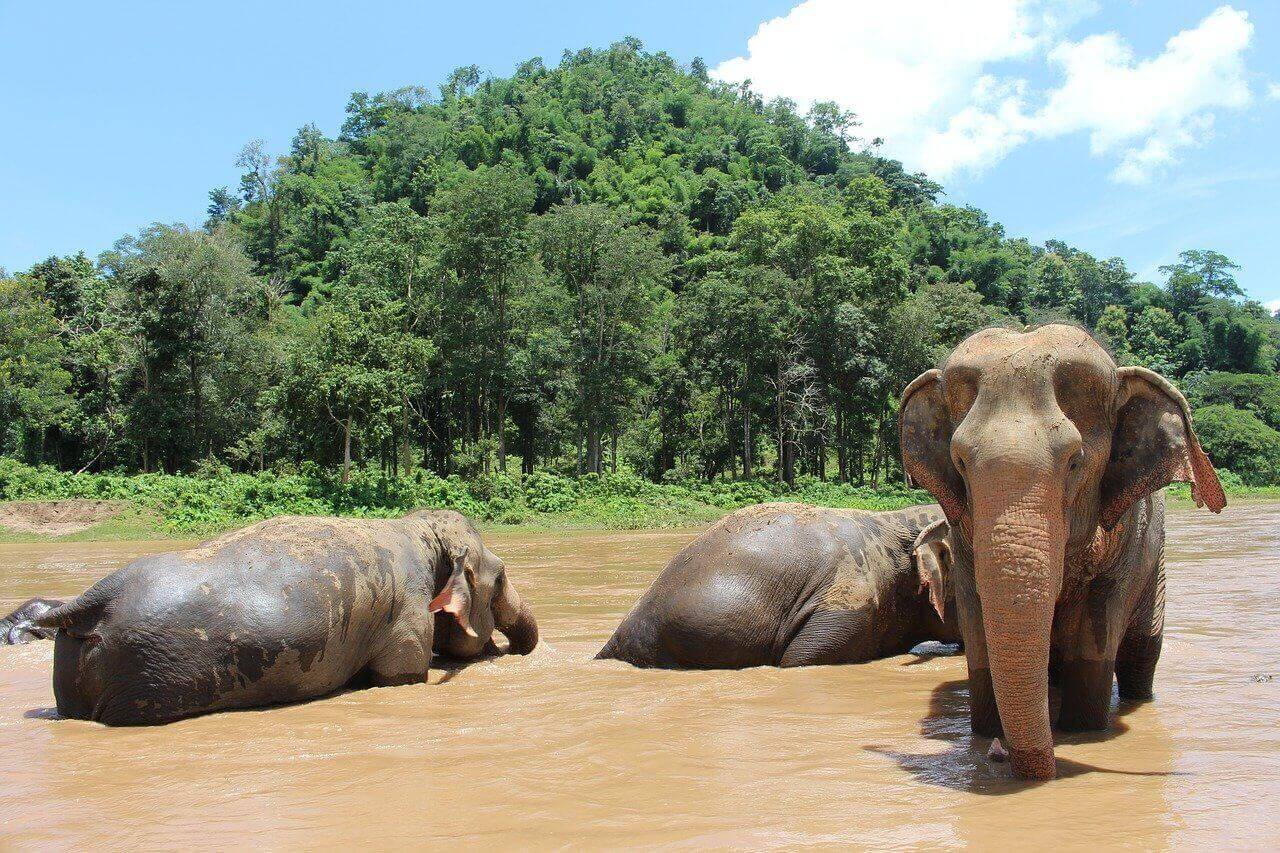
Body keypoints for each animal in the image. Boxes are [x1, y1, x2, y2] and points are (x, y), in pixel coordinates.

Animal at [35, 507, 535, 722]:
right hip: (146, 677)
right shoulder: (408, 612)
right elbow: (400, 677)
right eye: (501, 579)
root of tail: (91, 600)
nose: (510, 647)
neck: (421, 528)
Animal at [896, 324, 1223, 778]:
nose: (999, 754)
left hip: (1154, 567)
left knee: (1142, 654)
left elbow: (1099, 624)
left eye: (1074, 462)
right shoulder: (962, 532)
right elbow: (976, 618)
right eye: (959, 462)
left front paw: (1082, 731)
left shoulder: (1129, 536)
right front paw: (985, 734)